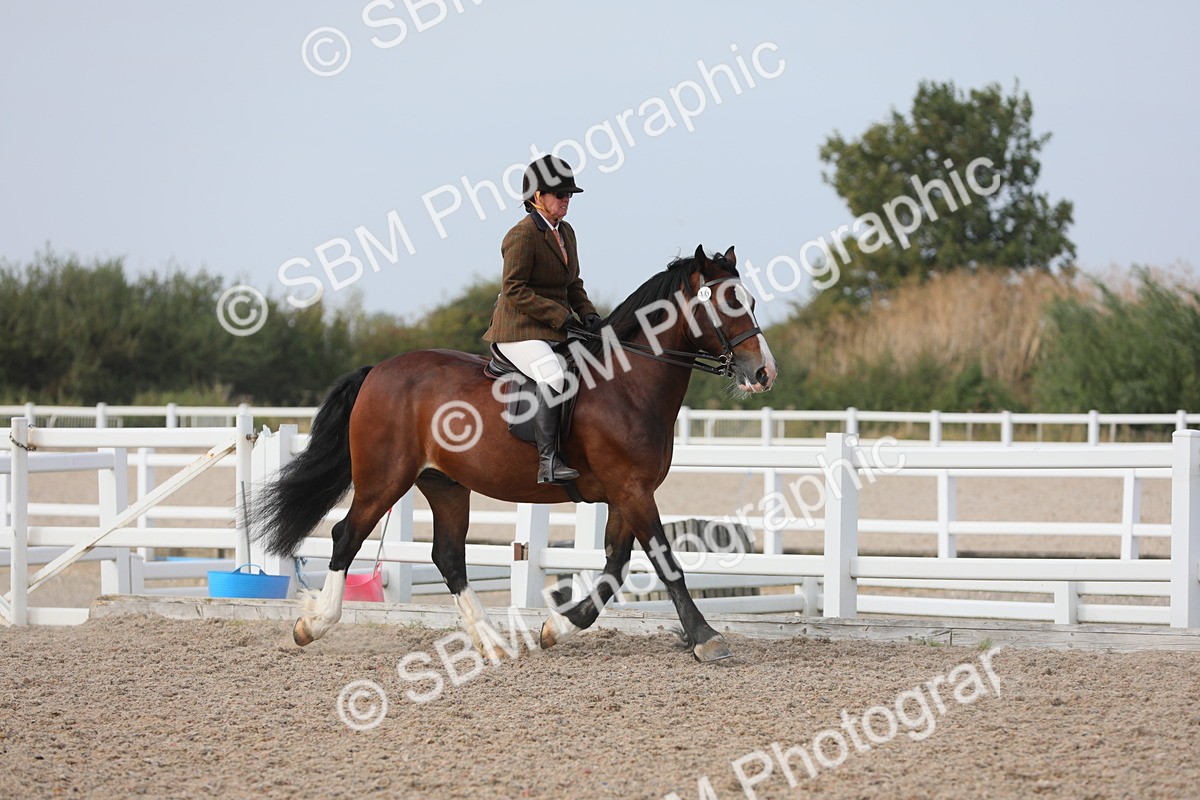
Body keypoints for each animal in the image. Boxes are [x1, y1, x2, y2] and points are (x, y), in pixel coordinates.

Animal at [254, 245, 777, 662]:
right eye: (728, 303)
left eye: (748, 301)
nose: (764, 372)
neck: (629, 383)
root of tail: (378, 370)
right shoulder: (631, 489)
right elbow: (664, 562)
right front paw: (707, 638)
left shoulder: (627, 491)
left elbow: (614, 566)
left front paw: (557, 628)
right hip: (384, 479)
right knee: (346, 536)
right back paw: (312, 625)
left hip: (445, 484)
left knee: (448, 556)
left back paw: (492, 641)